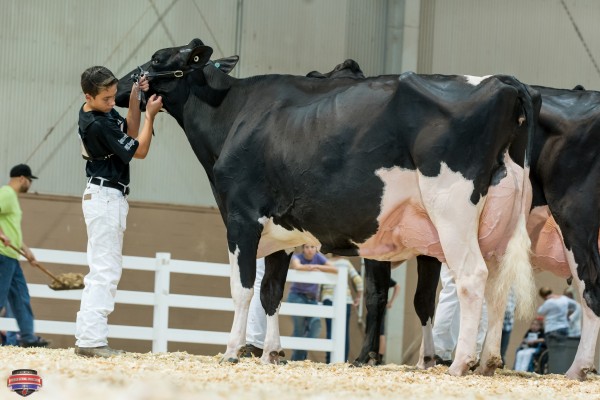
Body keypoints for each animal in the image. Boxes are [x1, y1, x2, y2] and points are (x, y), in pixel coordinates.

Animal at [115, 39, 540, 376]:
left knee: (473, 278)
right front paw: (272, 353)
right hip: (498, 223)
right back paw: (488, 362)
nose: (121, 87)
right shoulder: (282, 232)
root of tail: (503, 82)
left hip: (452, 208)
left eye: (157, 58)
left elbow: (243, 289)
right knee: (497, 287)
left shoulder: (240, 218)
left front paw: (233, 351)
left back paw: (461, 362)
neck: (234, 114)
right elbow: (272, 292)